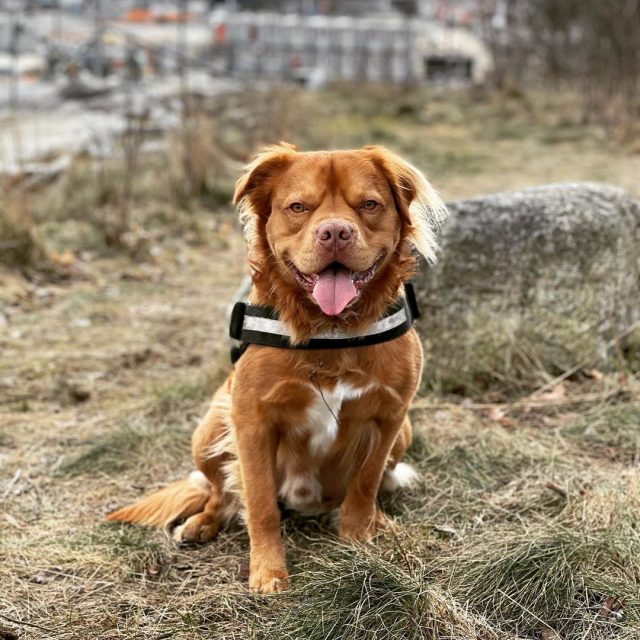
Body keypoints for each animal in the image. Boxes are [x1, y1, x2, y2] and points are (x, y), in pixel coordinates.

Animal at [107, 142, 448, 592]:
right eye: (298, 207)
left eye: (369, 204)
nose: (335, 232)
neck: (332, 331)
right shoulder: (251, 420)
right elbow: (260, 503)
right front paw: (268, 571)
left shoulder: (390, 415)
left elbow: (365, 483)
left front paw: (358, 537)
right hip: (210, 425)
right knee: (220, 493)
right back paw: (201, 523)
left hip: (404, 432)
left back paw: (380, 521)